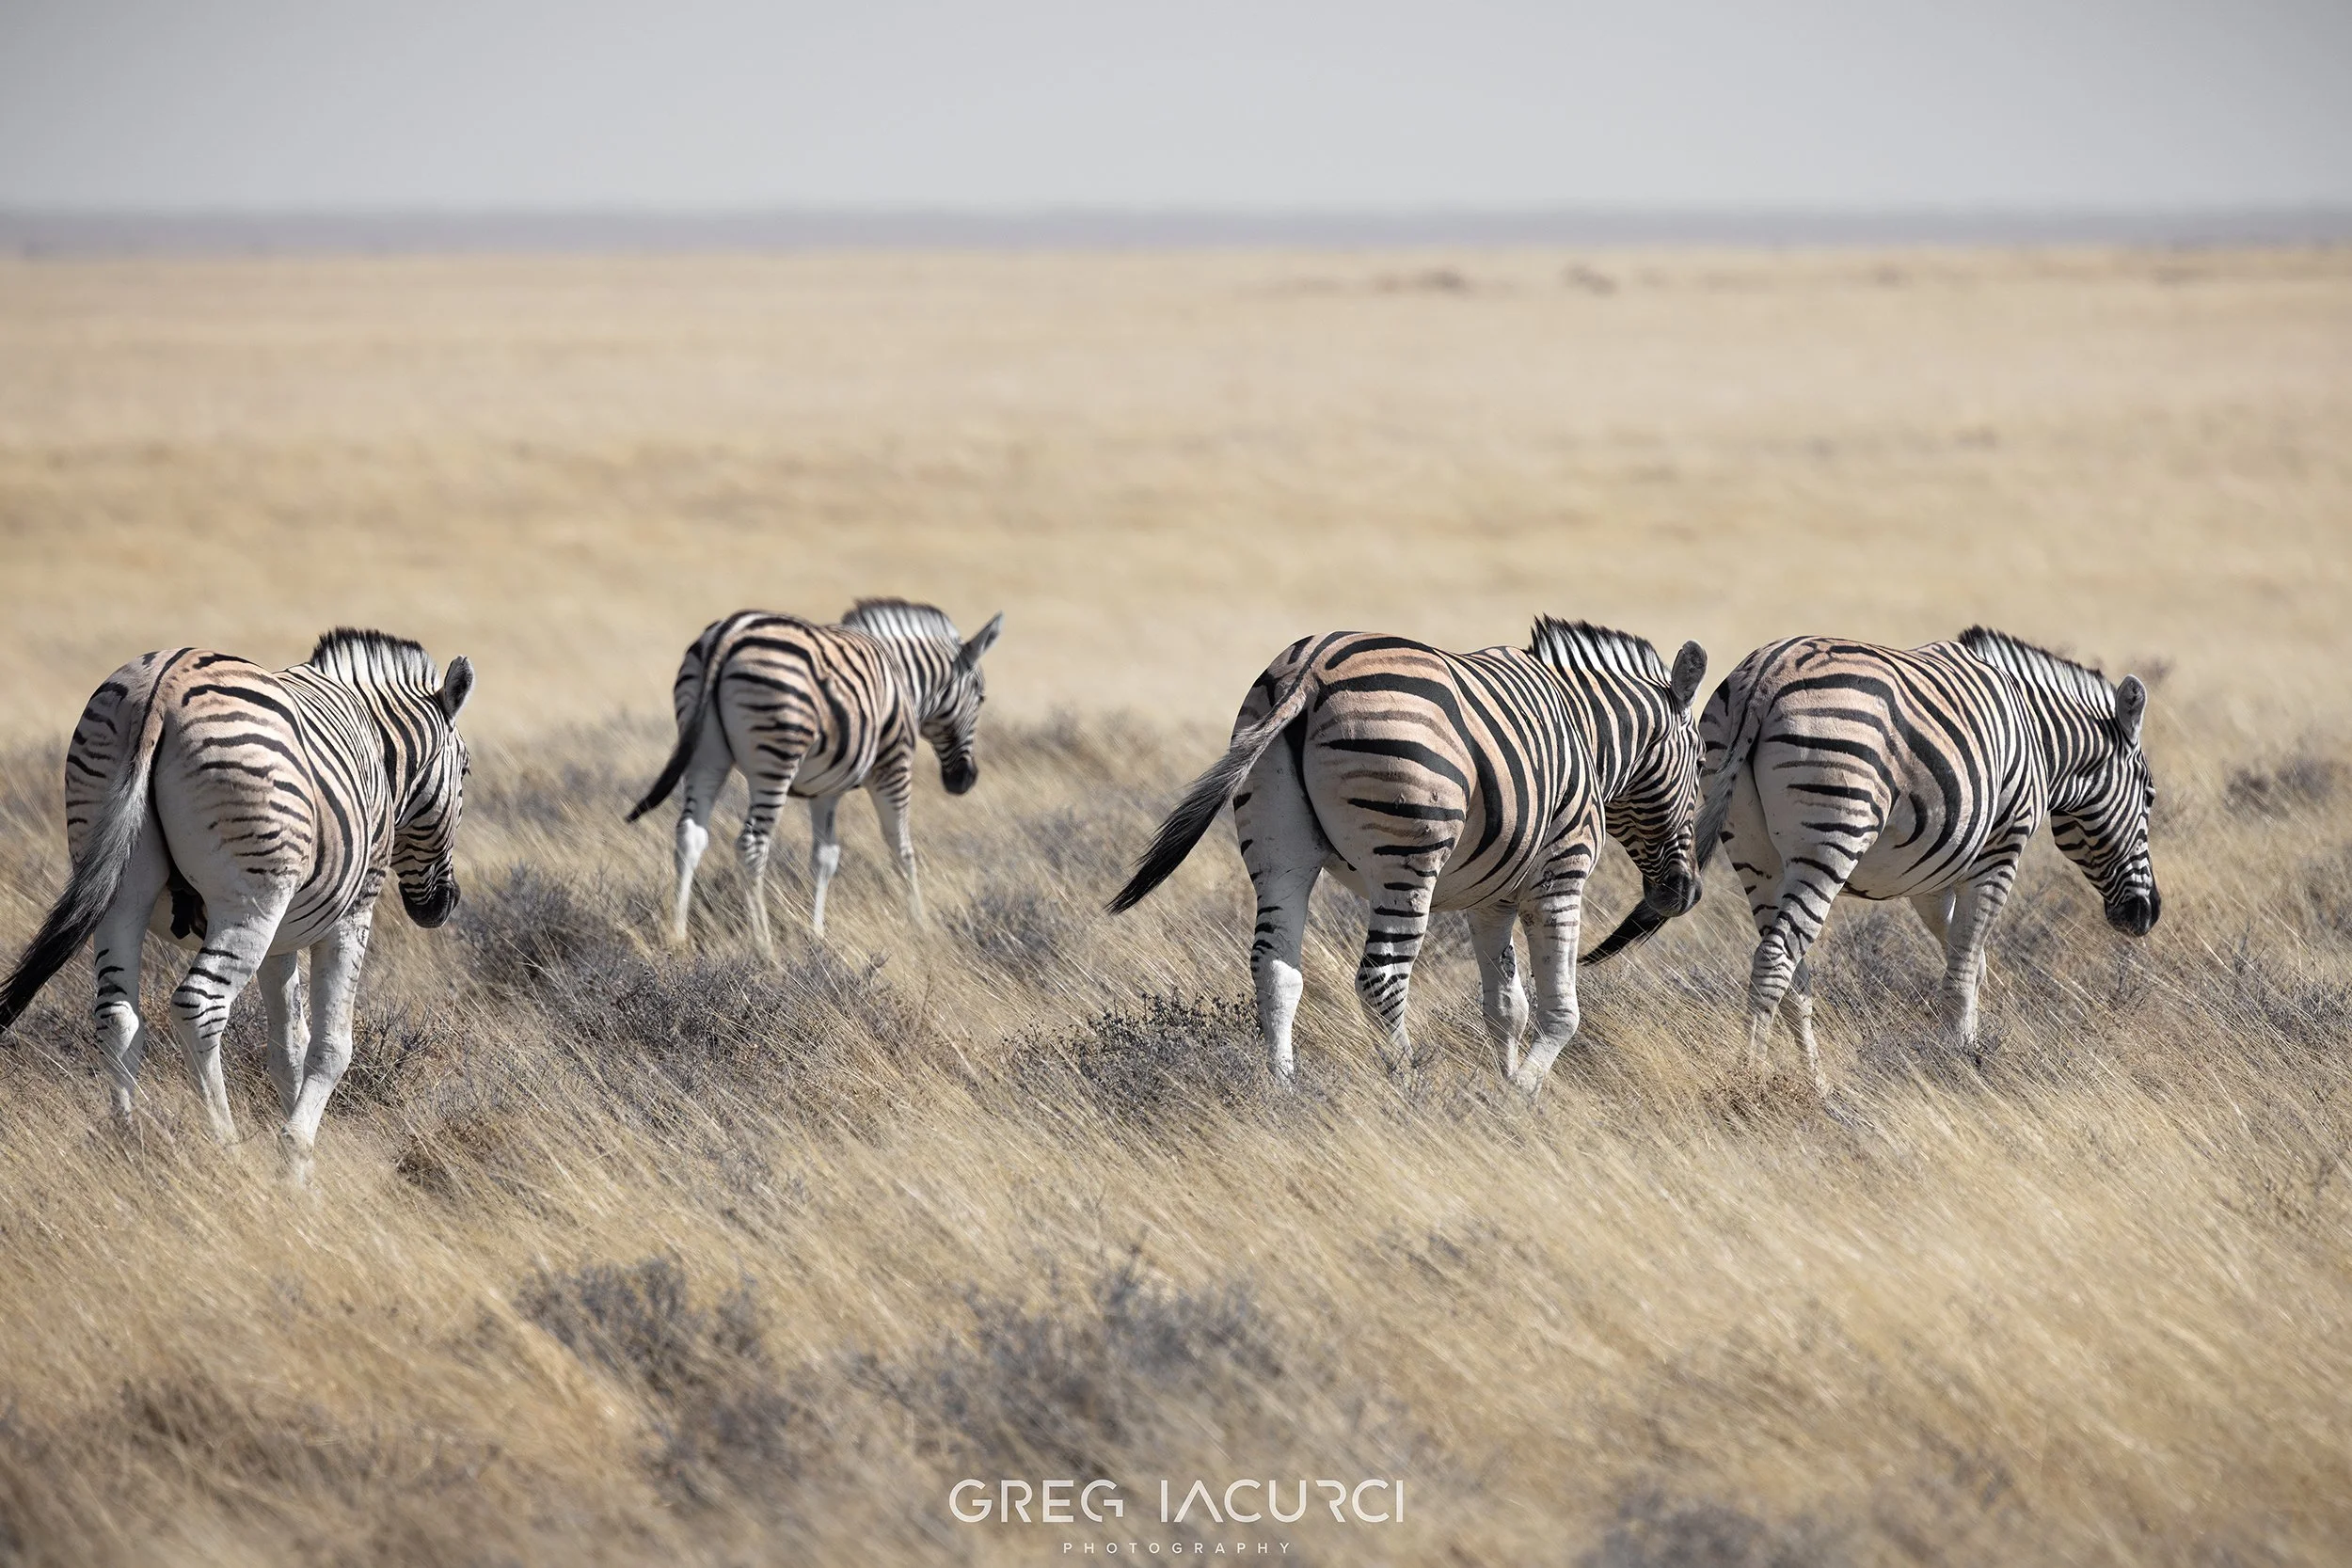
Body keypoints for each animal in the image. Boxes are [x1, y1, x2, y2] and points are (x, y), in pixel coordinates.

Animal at [0, 630, 474, 1165]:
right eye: (466, 773)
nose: (441, 906)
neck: (378, 742)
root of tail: (161, 687)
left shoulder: (283, 937)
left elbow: (289, 1046)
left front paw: (300, 1161)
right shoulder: (353, 913)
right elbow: (331, 1046)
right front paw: (296, 1152)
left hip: (121, 887)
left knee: (117, 1014)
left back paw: (126, 1143)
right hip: (251, 901)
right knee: (198, 1006)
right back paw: (226, 1148)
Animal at [626, 599, 1004, 949]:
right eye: (982, 697)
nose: (964, 781)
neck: (905, 678)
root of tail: (730, 630)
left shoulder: (826, 790)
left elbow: (825, 857)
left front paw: (817, 935)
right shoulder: (893, 766)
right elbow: (902, 848)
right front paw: (920, 927)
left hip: (706, 756)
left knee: (690, 835)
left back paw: (677, 937)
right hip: (777, 755)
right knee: (751, 845)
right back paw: (765, 949)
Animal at [1109, 619, 1708, 1091]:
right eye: (1703, 763)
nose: (1686, 893)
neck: (1590, 733)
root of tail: (1310, 668)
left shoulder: (1491, 898)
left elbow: (1505, 1008)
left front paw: (1505, 1086)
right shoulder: (1561, 874)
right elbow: (1560, 1011)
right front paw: (1523, 1095)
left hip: (1278, 849)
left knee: (1275, 969)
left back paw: (1284, 1093)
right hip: (1408, 855)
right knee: (1382, 980)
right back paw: (1412, 1088)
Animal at [1584, 627, 2160, 1095]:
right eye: (2151, 796)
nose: (2146, 914)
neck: (2040, 737)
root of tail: (1764, 677)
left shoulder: (1933, 880)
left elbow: (1967, 961)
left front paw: (1969, 1043)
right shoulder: (2000, 852)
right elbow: (1964, 967)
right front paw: (1963, 1065)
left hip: (1752, 850)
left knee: (1794, 970)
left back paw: (1816, 1085)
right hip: (1832, 835)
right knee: (1775, 959)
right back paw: (1749, 1079)